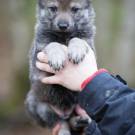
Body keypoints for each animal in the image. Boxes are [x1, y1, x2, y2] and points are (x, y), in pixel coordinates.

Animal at [25, 0, 96, 134]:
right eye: (53, 8)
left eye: (75, 9)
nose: (63, 25)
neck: (64, 37)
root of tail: (65, 112)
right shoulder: (38, 52)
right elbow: (53, 44)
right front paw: (57, 57)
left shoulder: (89, 44)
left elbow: (77, 39)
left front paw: (76, 50)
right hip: (38, 105)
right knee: (59, 121)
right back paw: (65, 129)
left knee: (71, 121)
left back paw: (80, 120)